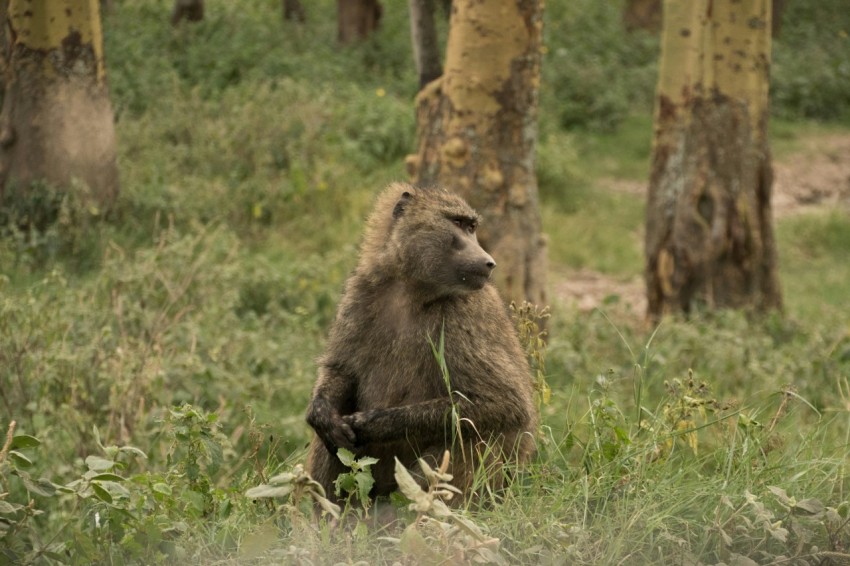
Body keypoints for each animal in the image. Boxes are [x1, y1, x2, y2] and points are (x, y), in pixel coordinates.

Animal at [305, 182, 538, 505]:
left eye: (471, 227)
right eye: (458, 223)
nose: (489, 261)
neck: (410, 289)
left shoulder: (465, 315)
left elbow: (505, 403)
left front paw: (373, 423)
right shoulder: (359, 293)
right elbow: (341, 372)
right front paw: (322, 415)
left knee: (470, 436)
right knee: (331, 448)